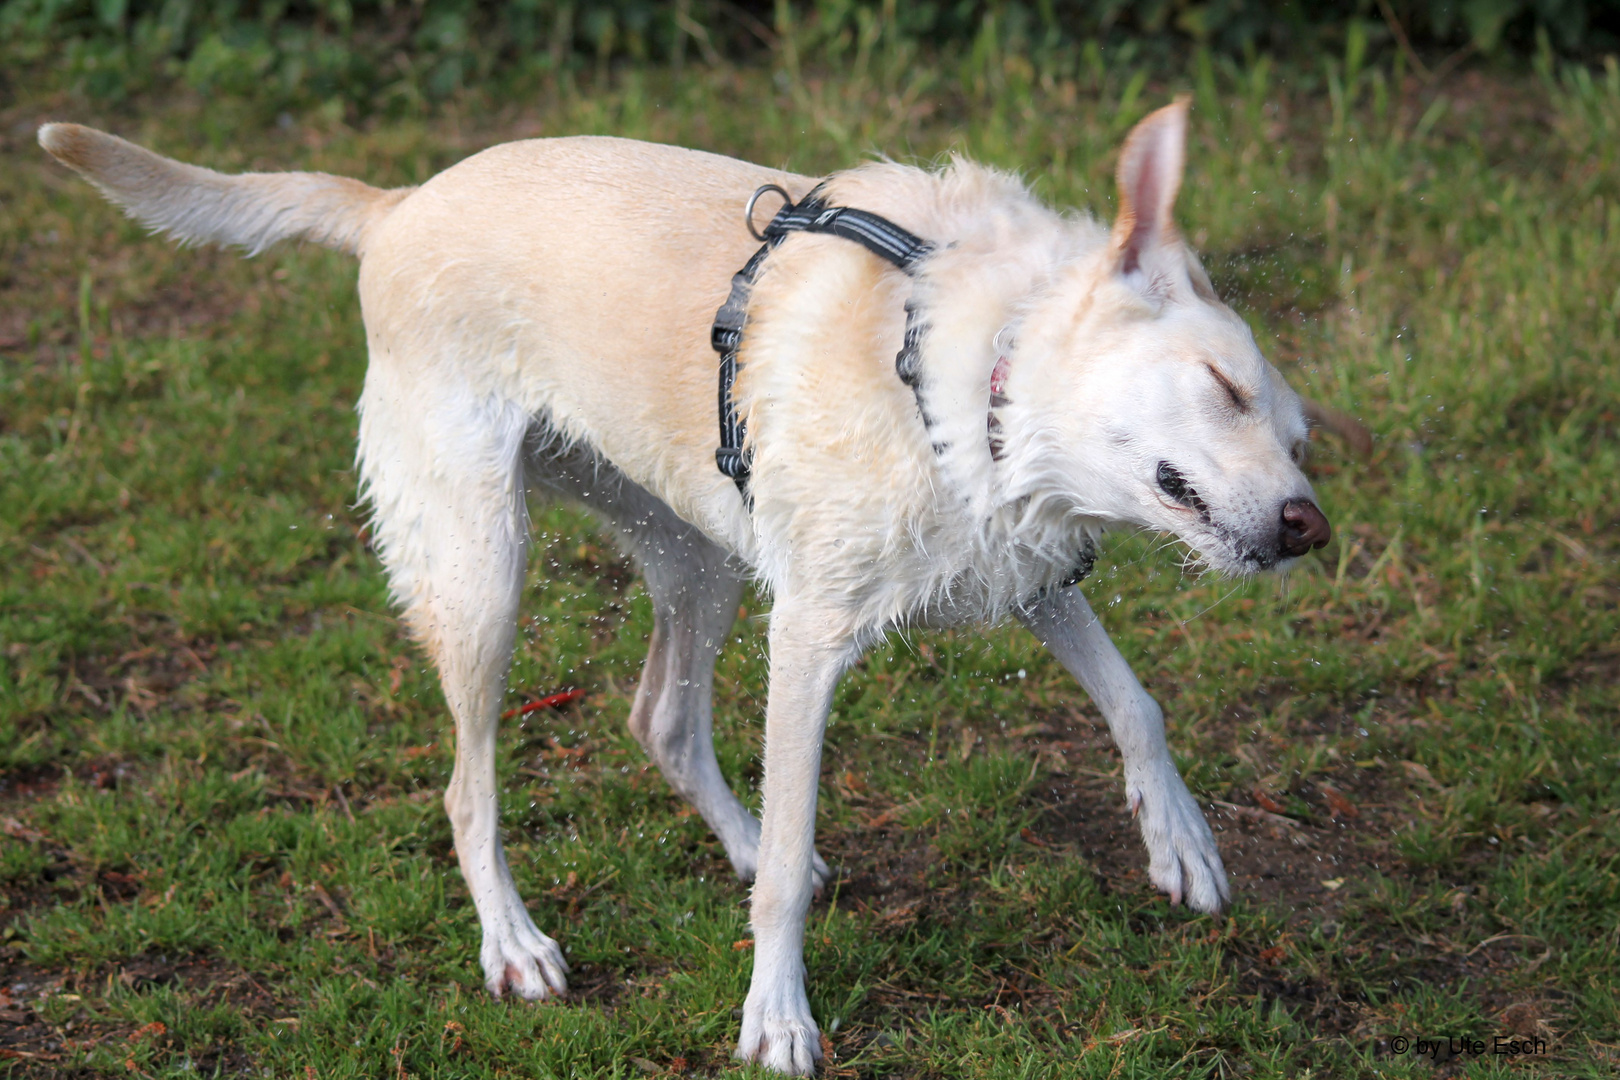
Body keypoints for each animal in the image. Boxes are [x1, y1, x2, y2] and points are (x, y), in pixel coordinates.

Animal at [38, 99, 1328, 1075]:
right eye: (1222, 386)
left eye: (1295, 430)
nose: (1310, 527)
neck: (972, 359)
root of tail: (393, 206)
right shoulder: (810, 636)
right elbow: (795, 861)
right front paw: (777, 1018)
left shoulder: (1026, 572)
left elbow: (1136, 703)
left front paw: (1180, 840)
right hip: (484, 570)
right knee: (466, 788)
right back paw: (516, 944)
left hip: (697, 552)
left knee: (656, 716)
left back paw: (740, 840)